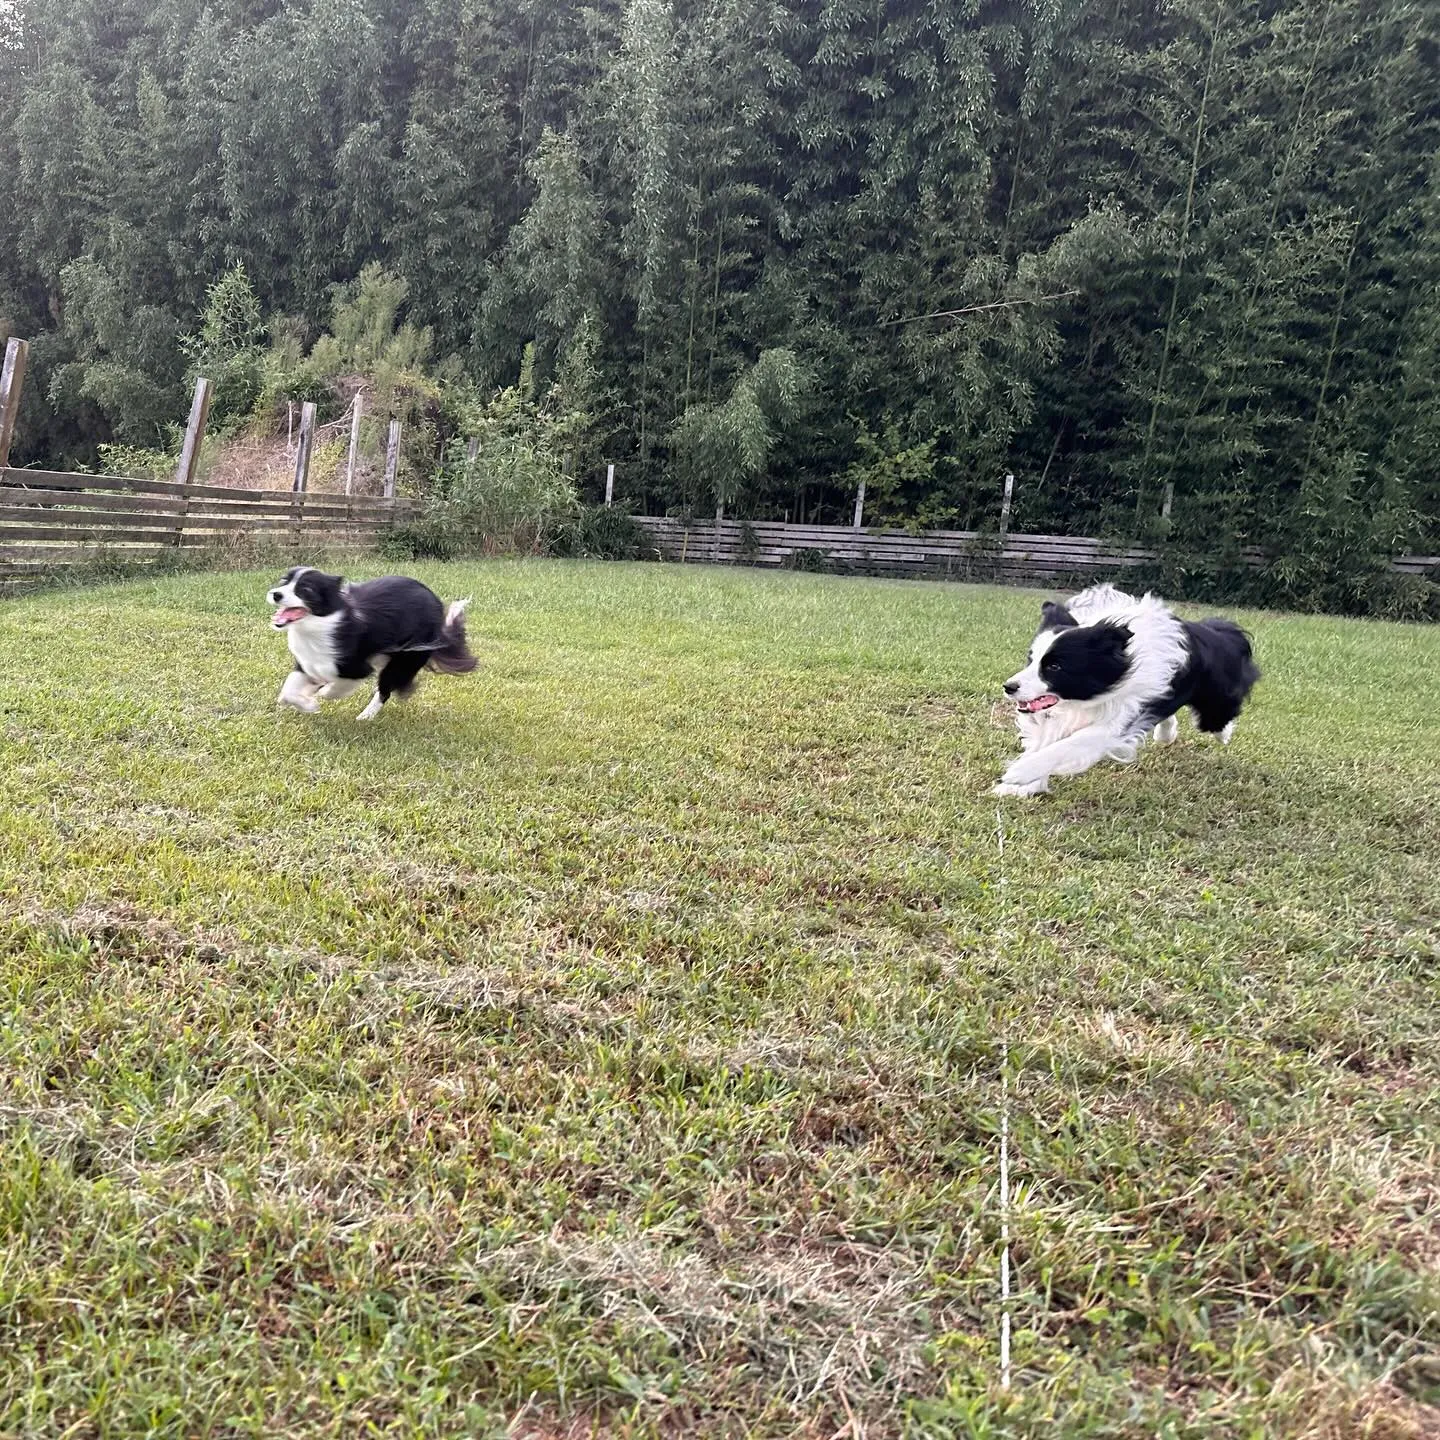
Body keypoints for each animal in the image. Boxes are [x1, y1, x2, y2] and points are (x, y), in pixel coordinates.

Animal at [267, 561, 475, 720]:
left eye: (305, 590)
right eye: (284, 581)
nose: (276, 594)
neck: (317, 624)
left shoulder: (355, 668)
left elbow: (337, 686)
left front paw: (318, 697)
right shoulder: (309, 663)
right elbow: (288, 690)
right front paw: (305, 703)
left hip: (405, 659)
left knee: (385, 690)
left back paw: (365, 716)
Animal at [996, 578, 1255, 794]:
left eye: (1054, 667)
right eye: (1031, 659)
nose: (1009, 687)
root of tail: (1217, 631)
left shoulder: (1118, 716)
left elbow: (1072, 742)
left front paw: (1019, 773)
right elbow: (1046, 739)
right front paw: (1022, 786)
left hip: (1214, 699)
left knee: (1219, 716)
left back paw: (1222, 734)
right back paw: (1166, 734)